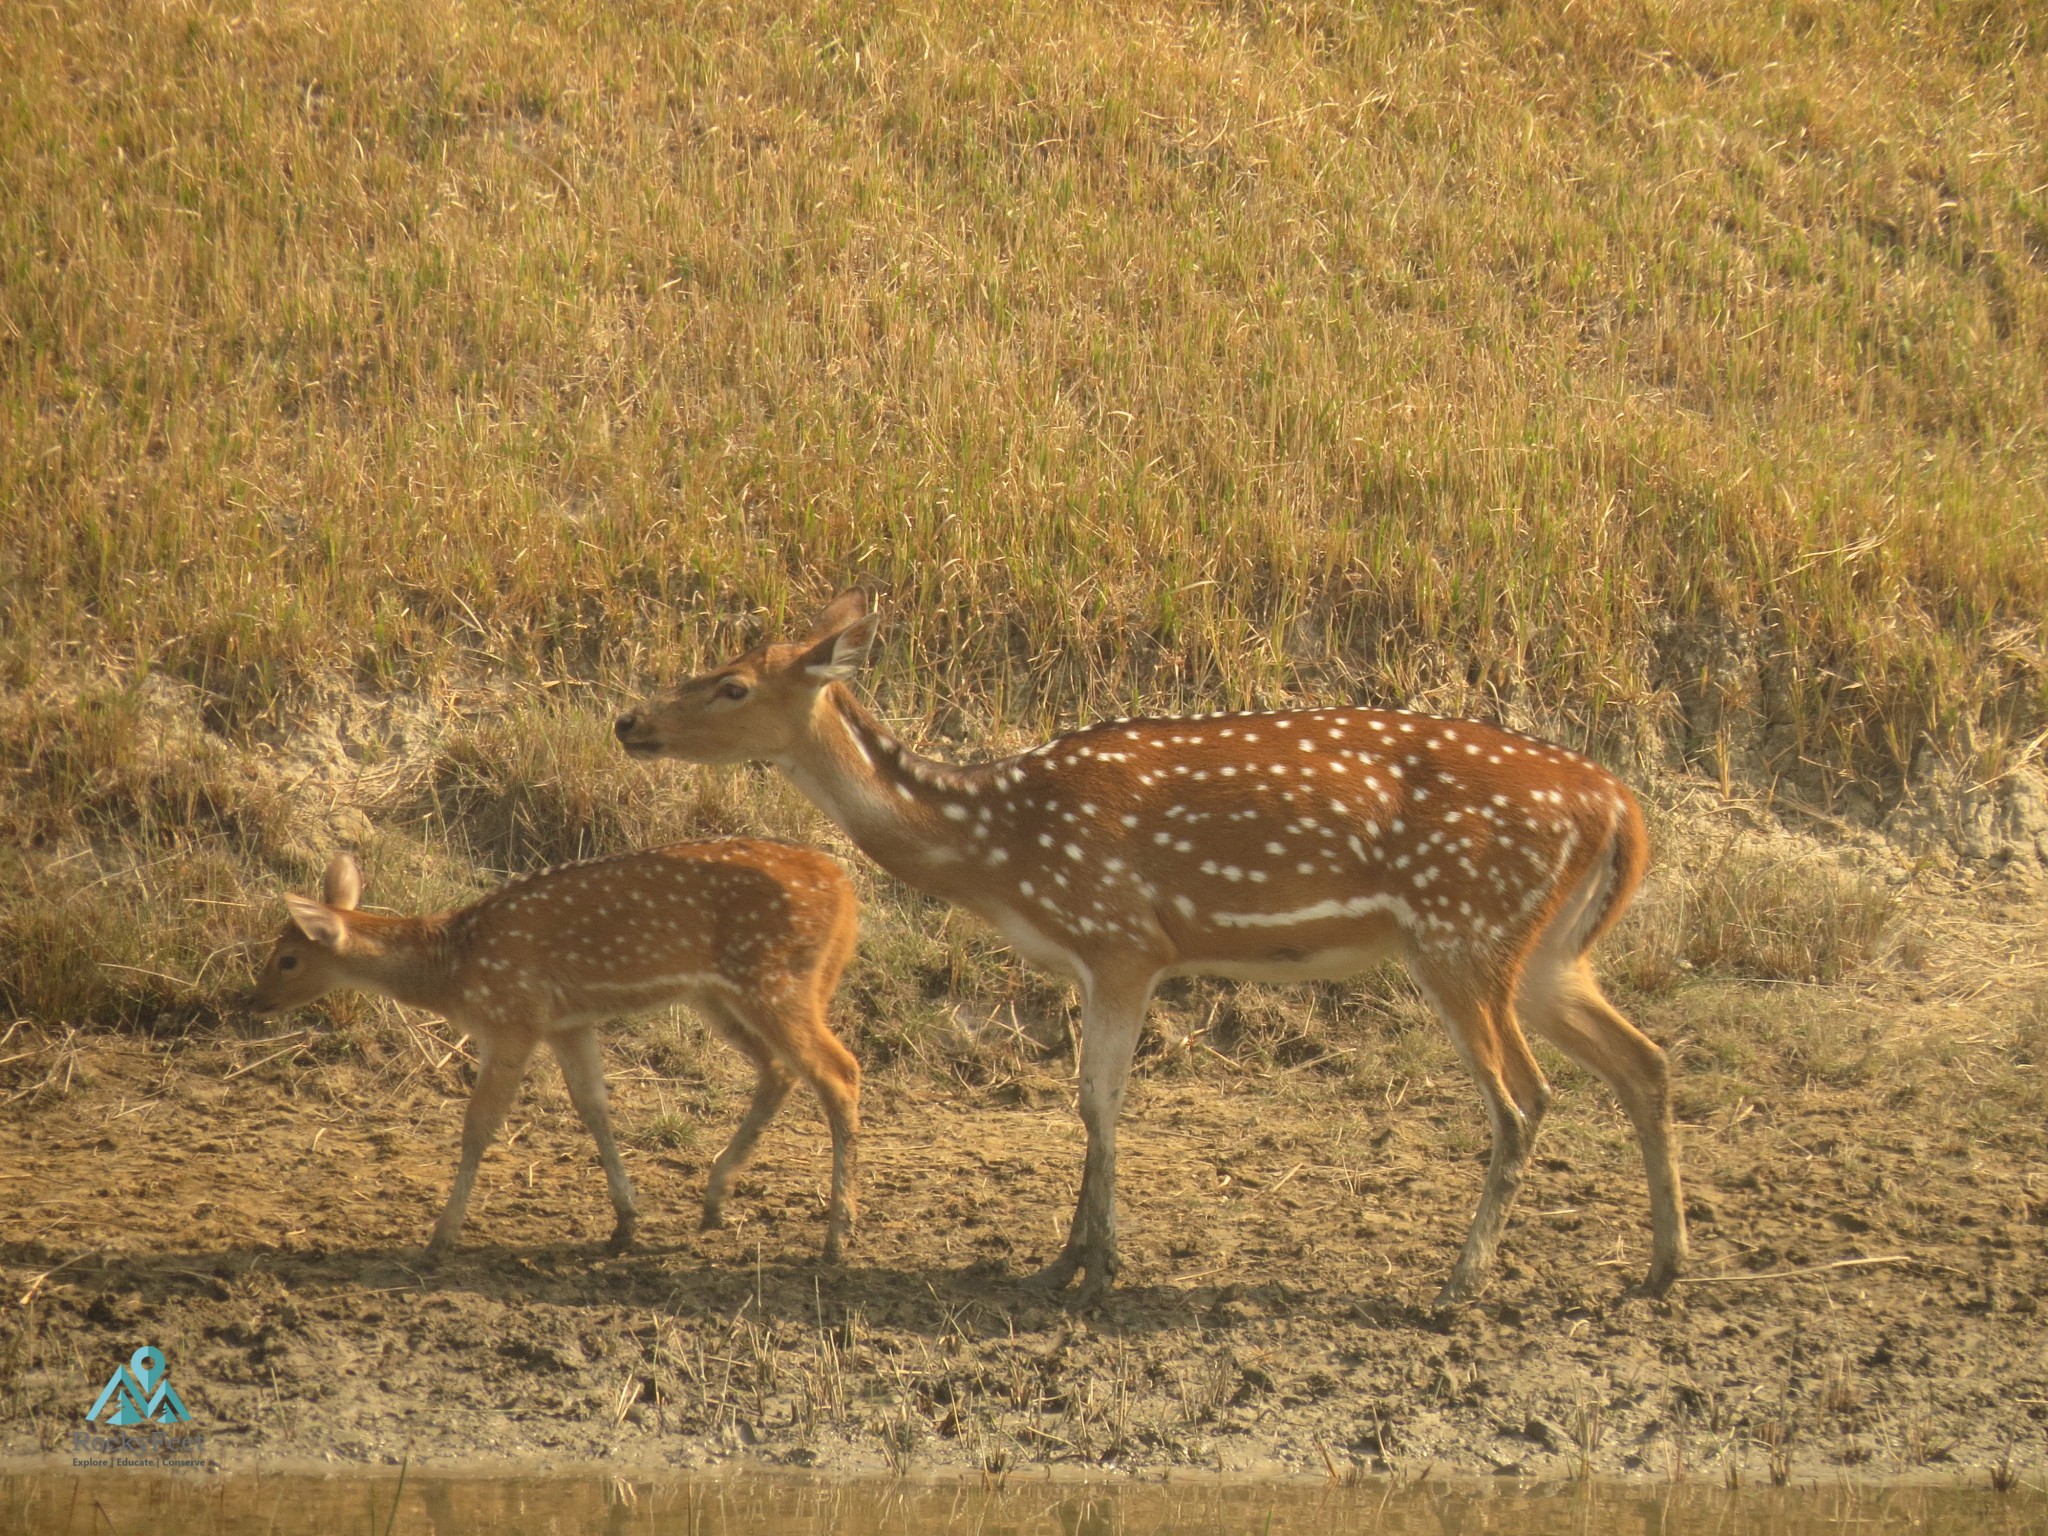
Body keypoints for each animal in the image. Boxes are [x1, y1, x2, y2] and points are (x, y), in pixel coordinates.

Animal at [246, 839, 863, 1263]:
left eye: (287, 960)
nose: (254, 1000)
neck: (455, 967)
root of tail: (845, 889)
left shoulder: (512, 1017)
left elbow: (479, 1124)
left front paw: (441, 1237)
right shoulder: (568, 1023)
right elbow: (593, 1106)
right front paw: (624, 1223)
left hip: (775, 979)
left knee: (839, 1071)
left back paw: (836, 1237)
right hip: (720, 994)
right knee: (781, 1069)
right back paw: (715, 1201)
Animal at [614, 591, 1686, 1307]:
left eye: (731, 684)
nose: (630, 720)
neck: (1000, 851)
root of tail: (1620, 806)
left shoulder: (1121, 936)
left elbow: (1098, 1100)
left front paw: (1100, 1267)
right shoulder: (1102, 959)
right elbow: (1092, 1098)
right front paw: (1063, 1259)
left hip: (1461, 932)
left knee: (1525, 1098)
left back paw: (1461, 1282)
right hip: (1548, 953)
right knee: (1644, 1059)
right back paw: (1662, 1267)